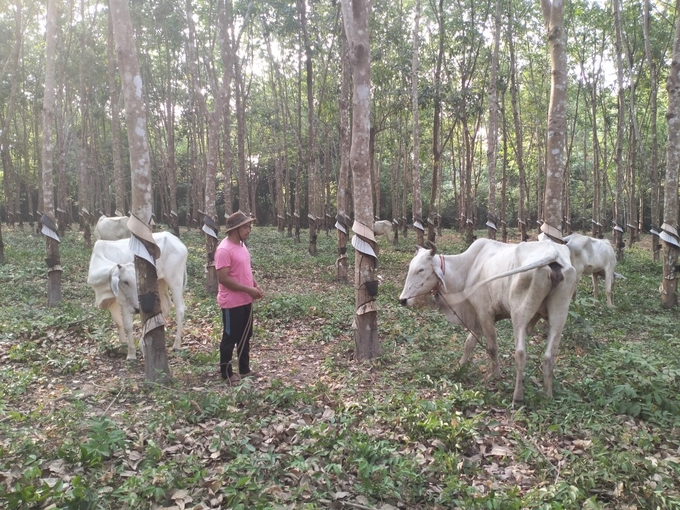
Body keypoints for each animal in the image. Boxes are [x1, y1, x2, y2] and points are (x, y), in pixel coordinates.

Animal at [398, 239, 580, 402]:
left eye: (421, 270)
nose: (403, 300)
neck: (468, 268)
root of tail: (553, 252)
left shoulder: (484, 313)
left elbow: (492, 347)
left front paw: (495, 376)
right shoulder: (477, 319)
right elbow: (469, 344)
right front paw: (459, 367)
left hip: (520, 313)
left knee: (521, 353)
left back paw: (517, 397)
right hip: (559, 314)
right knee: (550, 356)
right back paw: (548, 395)